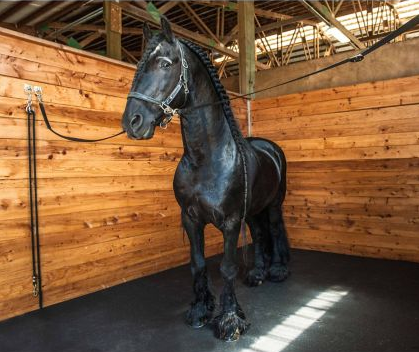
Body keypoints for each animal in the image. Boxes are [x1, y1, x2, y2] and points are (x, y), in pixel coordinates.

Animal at [122, 17, 288, 340]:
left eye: (165, 63)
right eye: (139, 65)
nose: (132, 122)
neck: (207, 160)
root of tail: (270, 148)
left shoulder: (231, 222)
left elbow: (226, 267)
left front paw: (230, 320)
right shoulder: (191, 219)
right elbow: (198, 264)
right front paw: (200, 310)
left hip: (274, 204)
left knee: (274, 231)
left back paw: (275, 272)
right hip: (254, 210)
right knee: (260, 234)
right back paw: (257, 274)